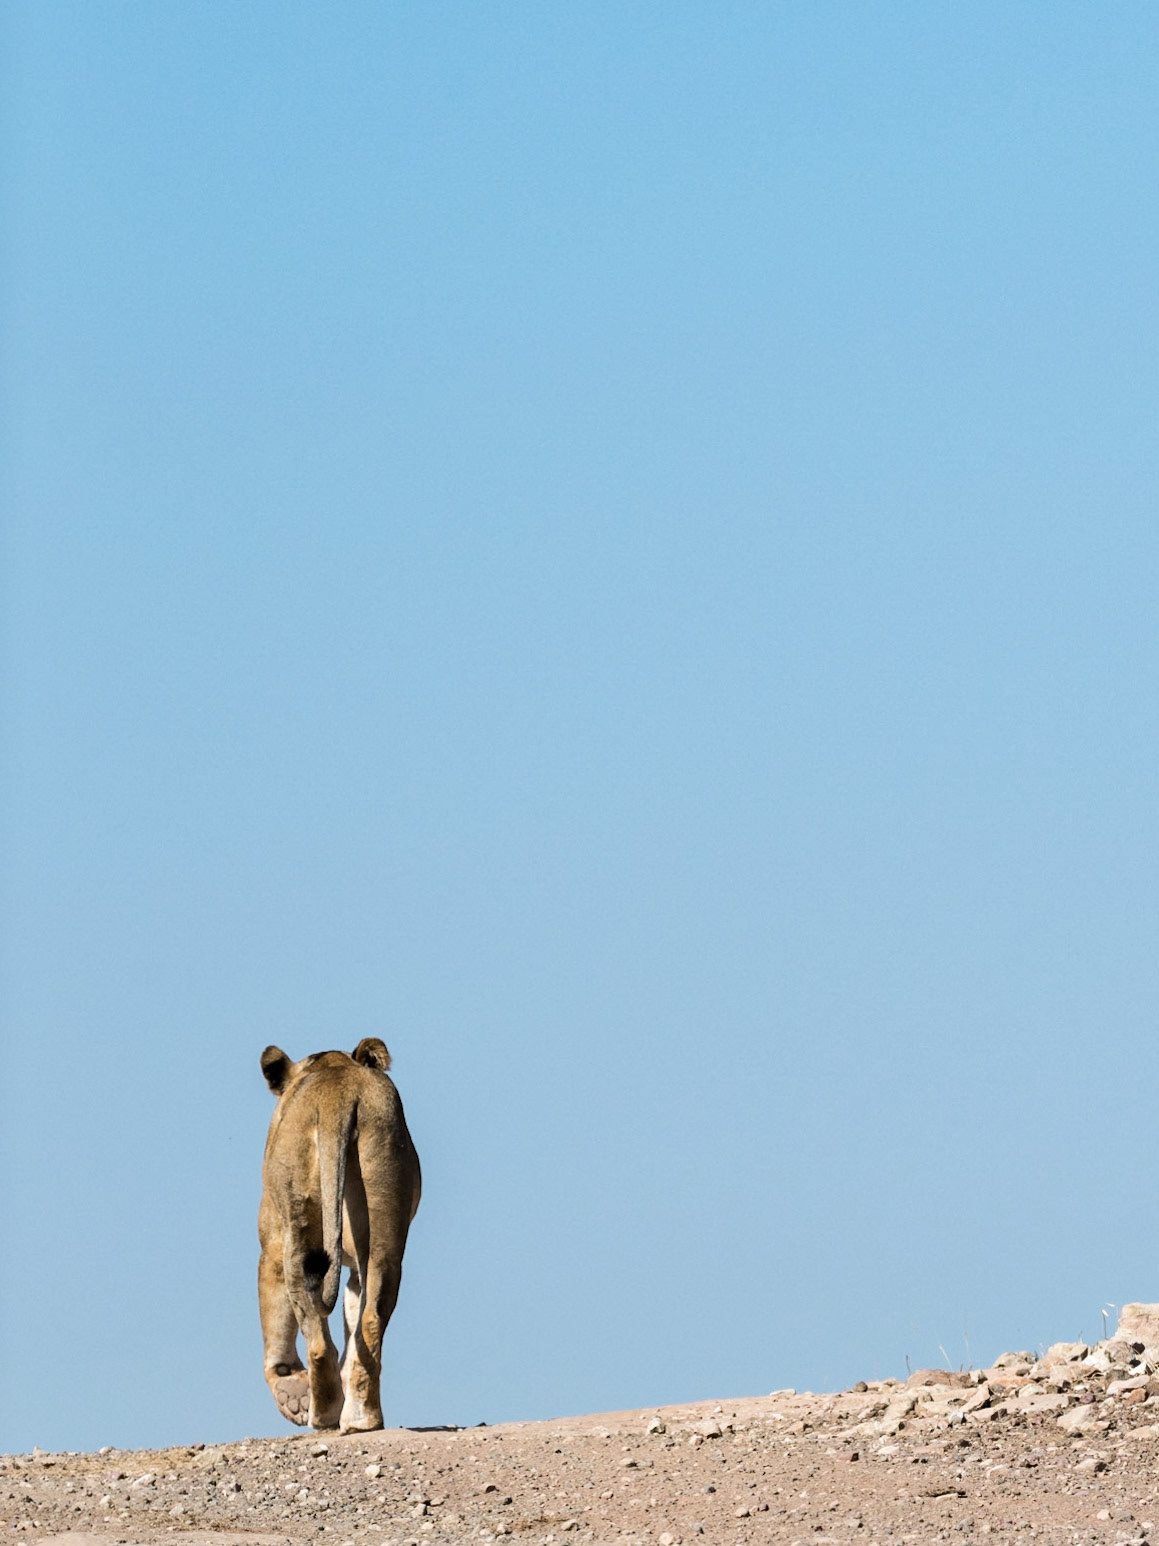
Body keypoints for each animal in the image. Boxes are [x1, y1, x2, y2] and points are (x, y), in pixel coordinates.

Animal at [258, 1038, 421, 1431]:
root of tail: (336, 1096)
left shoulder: (270, 1237)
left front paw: (290, 1389)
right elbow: (352, 1319)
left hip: (295, 1228)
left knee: (315, 1335)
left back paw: (324, 1413)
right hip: (384, 1217)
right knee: (371, 1319)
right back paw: (362, 1418)